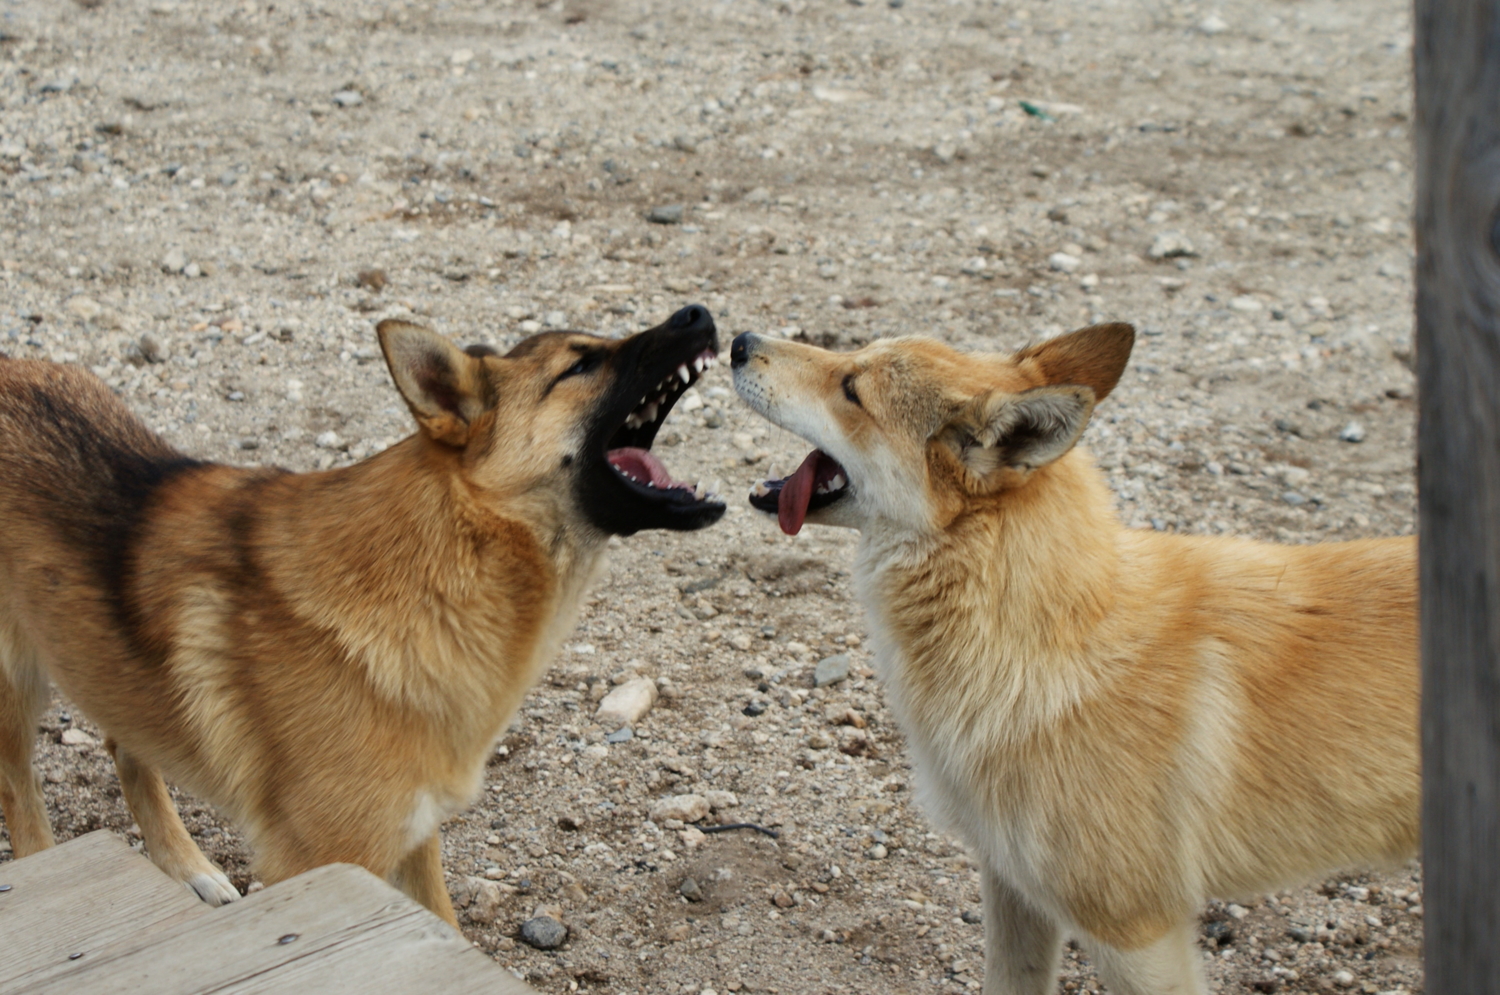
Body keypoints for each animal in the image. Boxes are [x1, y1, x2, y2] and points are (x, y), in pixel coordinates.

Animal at [0, 306, 726, 924]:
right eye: (580, 366)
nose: (697, 314)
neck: (441, 566)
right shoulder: (323, 866)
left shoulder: (409, 833)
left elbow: (443, 926)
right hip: (14, 687)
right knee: (22, 797)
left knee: (127, 743)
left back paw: (185, 865)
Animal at [732, 327, 1410, 995]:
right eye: (853, 353)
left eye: (851, 388)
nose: (737, 340)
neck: (1049, 645)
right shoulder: (1013, 885)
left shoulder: (1135, 934)